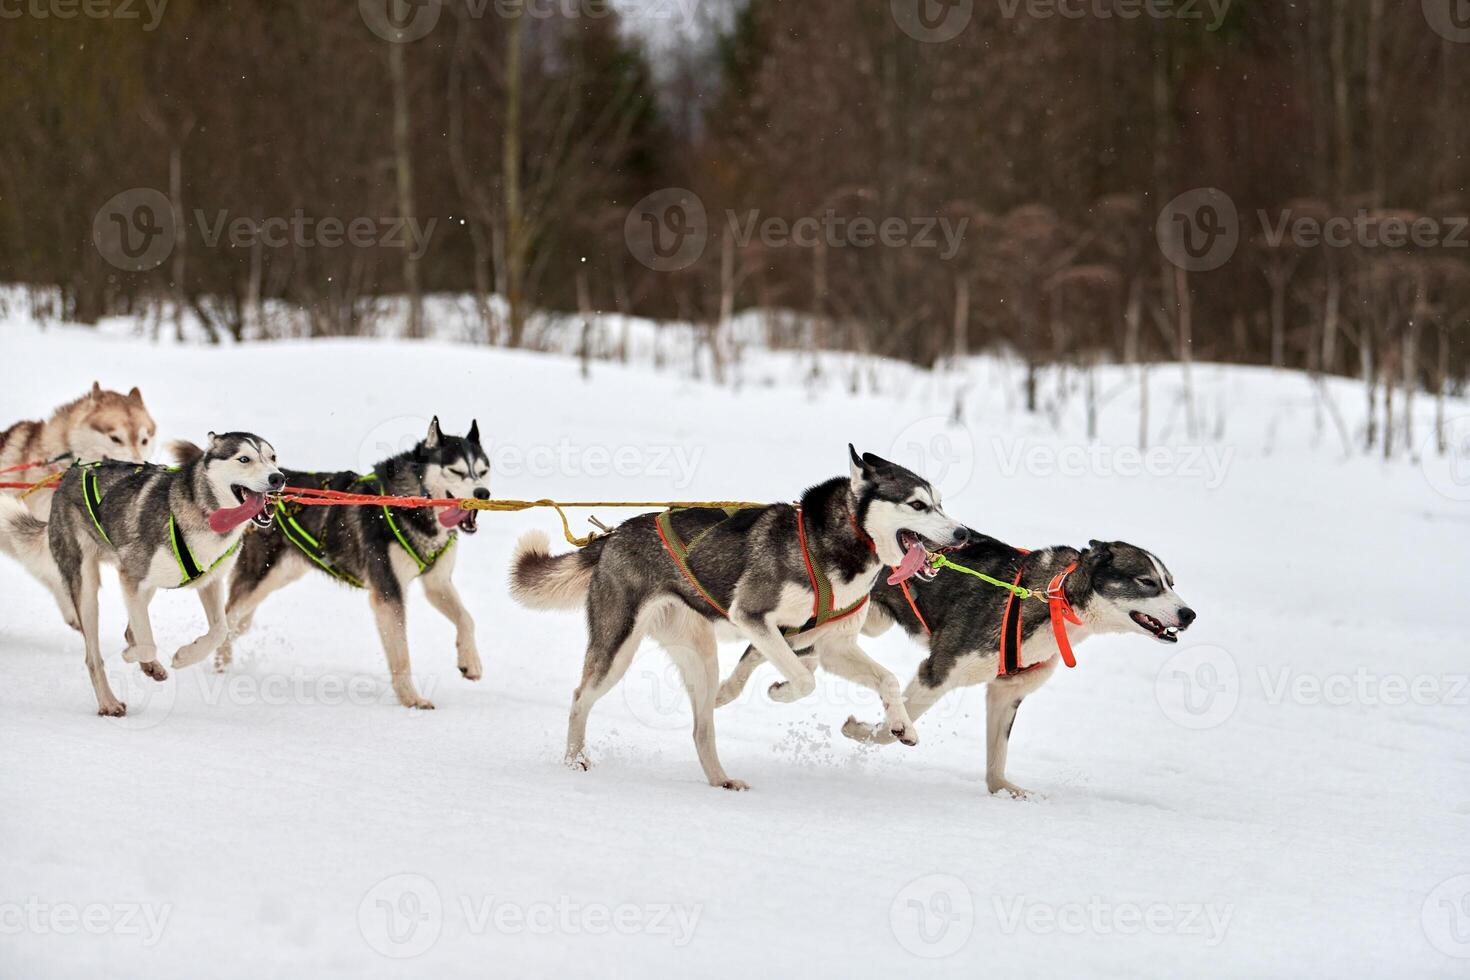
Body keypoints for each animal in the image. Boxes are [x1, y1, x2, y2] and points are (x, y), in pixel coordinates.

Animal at [0, 431, 282, 717]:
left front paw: (185, 655)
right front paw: (131, 656)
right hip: (89, 588)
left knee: (130, 630)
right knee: (94, 656)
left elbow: (220, 631)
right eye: (244, 459)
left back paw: (149, 667)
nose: (278, 478)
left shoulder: (209, 582)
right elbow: (147, 642)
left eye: (273, 457)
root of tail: (69, 474)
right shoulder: (131, 576)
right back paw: (108, 702)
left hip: (147, 585)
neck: (205, 514)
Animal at [214, 417, 488, 708]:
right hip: (260, 577)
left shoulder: (437, 583)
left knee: (238, 622)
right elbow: (401, 653)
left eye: (483, 471)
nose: (483, 492)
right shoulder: (388, 591)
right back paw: (219, 665)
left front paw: (470, 662)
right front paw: (411, 699)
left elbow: (467, 619)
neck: (413, 505)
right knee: (227, 617)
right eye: (456, 471)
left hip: (280, 575)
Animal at [511, 449, 970, 793]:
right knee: (579, 699)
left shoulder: (833, 644)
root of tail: (612, 536)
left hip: (700, 656)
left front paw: (901, 725)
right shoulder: (754, 617)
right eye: (917, 505)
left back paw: (720, 778)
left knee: (701, 728)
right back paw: (575, 759)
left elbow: (887, 679)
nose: (963, 534)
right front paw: (781, 689)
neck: (838, 544)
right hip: (617, 648)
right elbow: (804, 679)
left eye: (941, 503)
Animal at [720, 528, 1193, 799]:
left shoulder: (1005, 693)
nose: (1189, 614)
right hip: (819, 626)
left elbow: (997, 755)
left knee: (802, 658)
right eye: (1147, 582)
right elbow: (893, 728)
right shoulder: (937, 673)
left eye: (1171, 582)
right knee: (759, 647)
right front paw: (869, 729)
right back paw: (729, 691)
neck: (1050, 598)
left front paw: (1002, 791)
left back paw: (782, 686)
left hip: (859, 627)